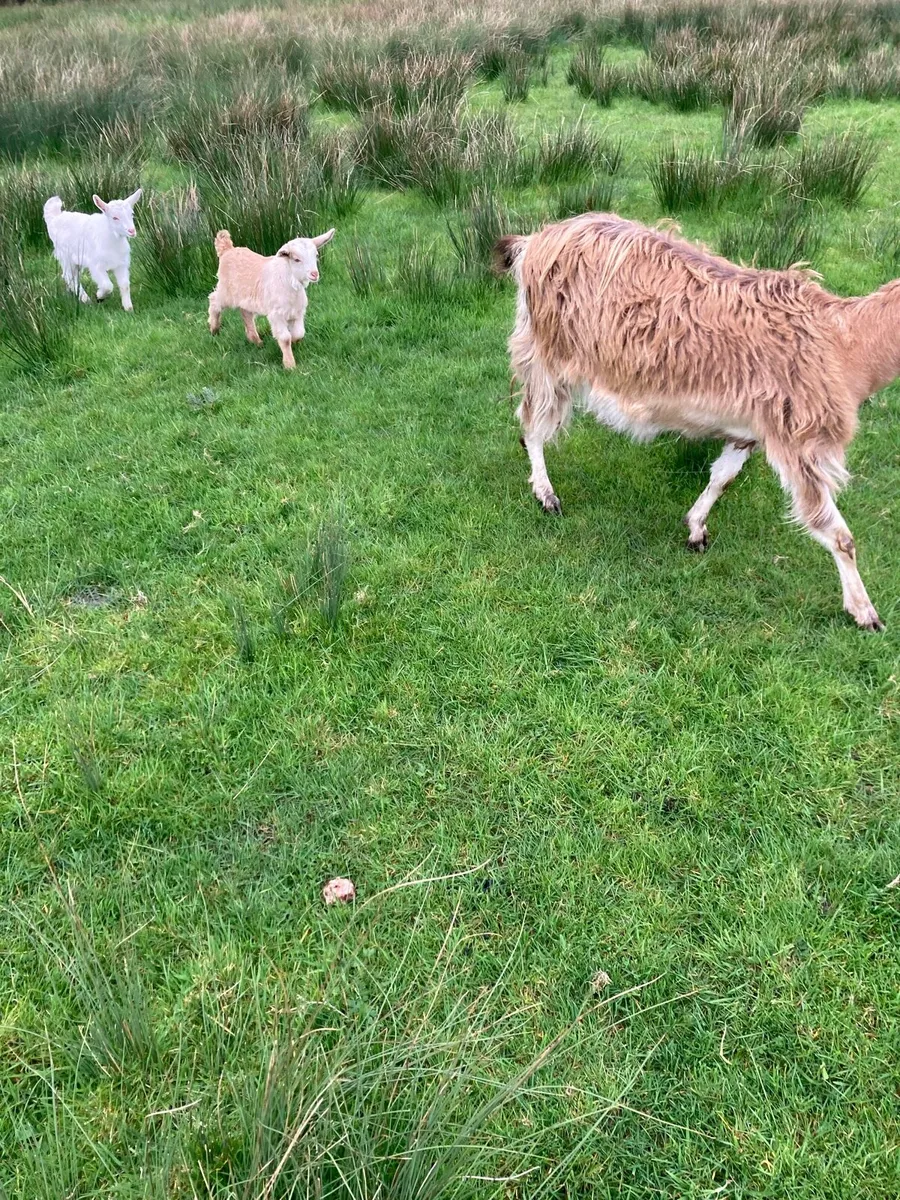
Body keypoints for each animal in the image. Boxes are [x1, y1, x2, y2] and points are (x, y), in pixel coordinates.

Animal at [208, 228, 335, 369]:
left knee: (246, 313)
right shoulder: (276, 315)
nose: (314, 274)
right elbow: (285, 339)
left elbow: (299, 333)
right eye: (296, 259)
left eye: (316, 255)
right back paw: (214, 328)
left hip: (246, 298)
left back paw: (256, 341)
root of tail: (227, 250)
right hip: (226, 291)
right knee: (214, 300)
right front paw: (289, 365)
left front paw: (294, 343)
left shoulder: (297, 312)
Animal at [494, 212, 893, 631]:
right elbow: (836, 532)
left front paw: (696, 529)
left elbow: (723, 478)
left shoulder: (750, 430)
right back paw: (546, 495)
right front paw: (865, 612)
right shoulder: (799, 440)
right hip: (546, 353)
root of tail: (533, 241)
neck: (846, 342)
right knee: (531, 422)